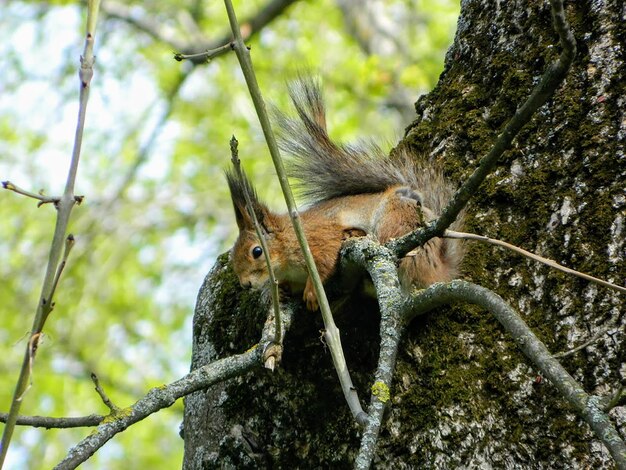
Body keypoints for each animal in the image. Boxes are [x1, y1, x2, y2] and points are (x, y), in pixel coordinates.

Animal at [227, 78, 460, 310]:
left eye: (256, 251)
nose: (245, 284)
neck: (286, 241)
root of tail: (437, 272)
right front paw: (283, 289)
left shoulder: (318, 238)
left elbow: (324, 261)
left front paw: (311, 293)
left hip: (396, 221)